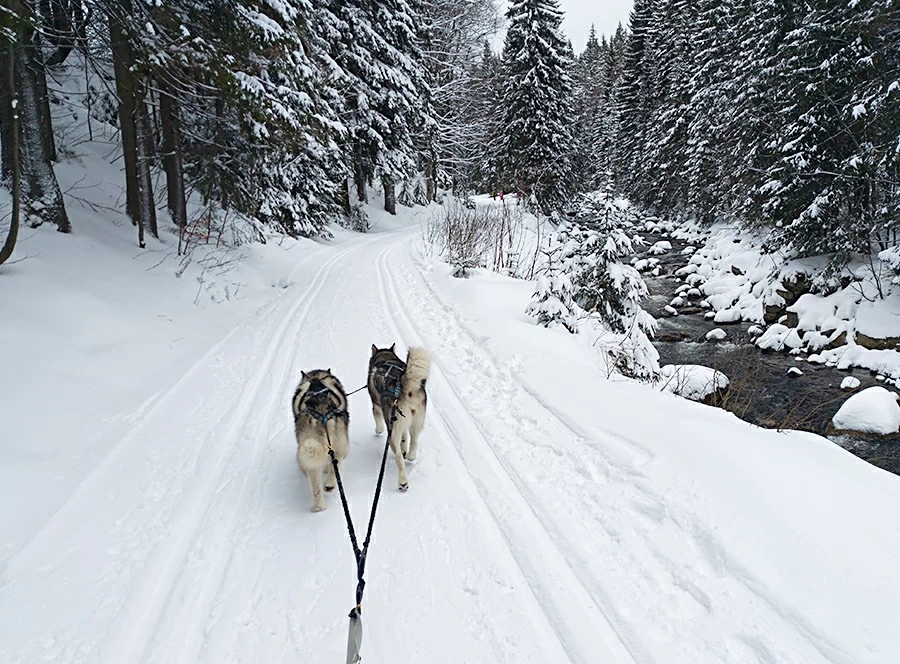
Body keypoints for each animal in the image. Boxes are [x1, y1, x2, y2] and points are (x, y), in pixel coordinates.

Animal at [370, 344, 432, 490]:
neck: (385, 358)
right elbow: (404, 437)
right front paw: (405, 448)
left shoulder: (376, 407)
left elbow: (378, 421)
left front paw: (378, 430)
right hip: (416, 420)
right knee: (414, 440)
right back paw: (410, 455)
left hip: (392, 430)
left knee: (398, 456)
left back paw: (403, 482)